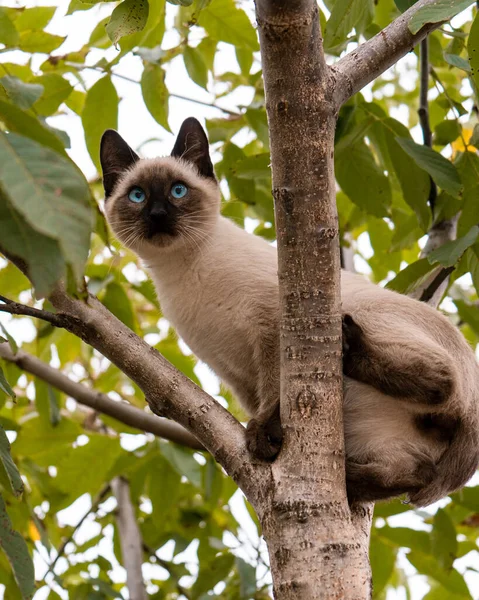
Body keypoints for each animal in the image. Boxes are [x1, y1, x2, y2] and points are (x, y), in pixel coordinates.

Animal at [100, 117, 479, 506]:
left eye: (177, 191)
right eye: (137, 196)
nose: (158, 215)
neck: (183, 269)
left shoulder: (270, 328)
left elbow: (275, 392)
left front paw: (263, 436)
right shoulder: (233, 373)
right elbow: (263, 400)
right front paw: (266, 442)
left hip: (369, 315)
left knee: (442, 381)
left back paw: (349, 350)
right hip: (384, 439)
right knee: (417, 472)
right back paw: (351, 478)